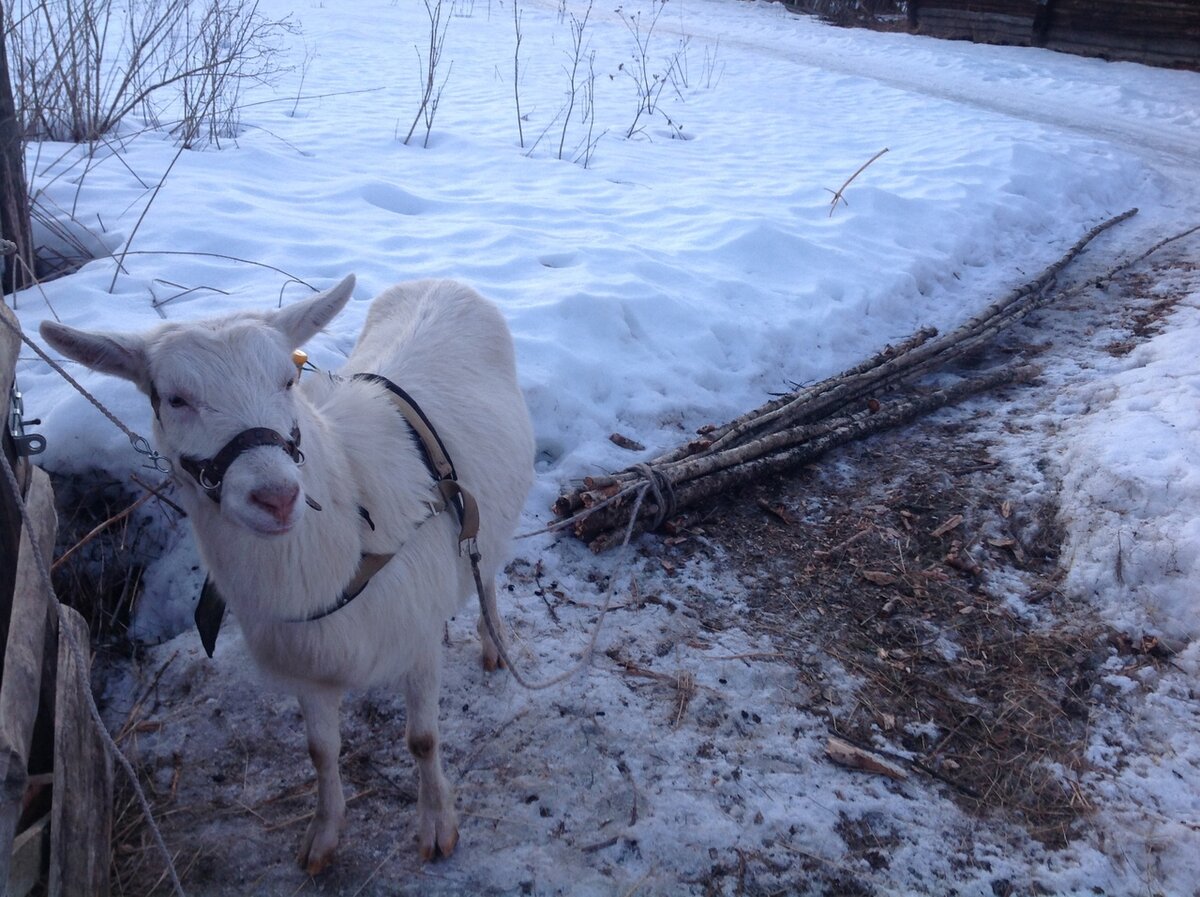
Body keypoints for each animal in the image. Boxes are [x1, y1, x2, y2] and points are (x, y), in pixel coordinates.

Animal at [39, 277, 535, 873]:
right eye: (174, 399)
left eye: (288, 379)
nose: (276, 497)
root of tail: (441, 282)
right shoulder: (306, 662)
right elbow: (320, 751)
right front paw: (323, 835)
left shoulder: (412, 641)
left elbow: (422, 740)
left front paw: (437, 826)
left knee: (486, 572)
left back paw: (493, 641)